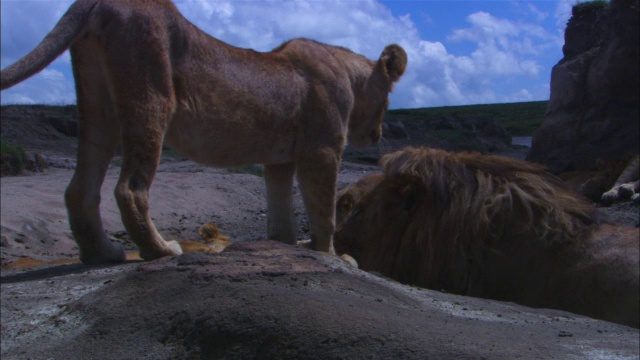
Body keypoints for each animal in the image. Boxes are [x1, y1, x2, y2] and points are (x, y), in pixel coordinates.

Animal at [0, 0, 408, 264]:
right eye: (389, 97)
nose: (378, 135)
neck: (350, 77)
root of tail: (101, 1)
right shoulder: (321, 150)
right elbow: (324, 211)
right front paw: (333, 255)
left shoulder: (280, 160)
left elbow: (280, 208)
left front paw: (287, 244)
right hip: (151, 94)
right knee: (130, 188)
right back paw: (161, 250)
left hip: (98, 105)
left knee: (80, 188)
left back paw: (103, 254)